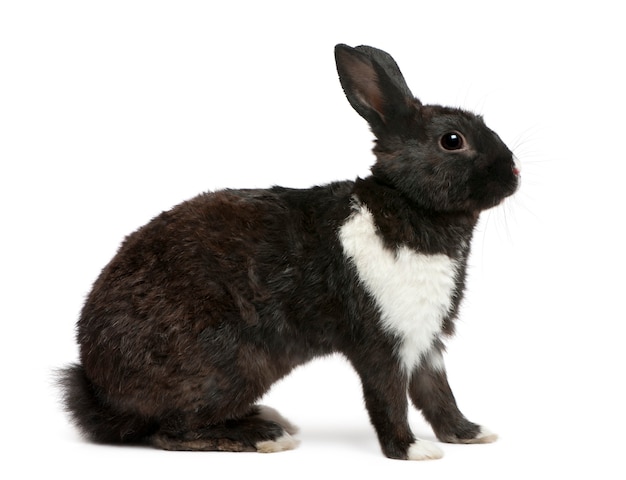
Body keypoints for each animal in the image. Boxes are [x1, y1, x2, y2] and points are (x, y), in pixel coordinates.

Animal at [59, 45, 516, 462]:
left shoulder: (425, 339)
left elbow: (437, 393)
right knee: (171, 431)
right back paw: (266, 436)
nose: (514, 172)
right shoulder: (381, 340)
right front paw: (411, 450)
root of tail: (98, 388)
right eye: (452, 141)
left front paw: (472, 434)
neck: (409, 208)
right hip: (228, 362)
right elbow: (389, 396)